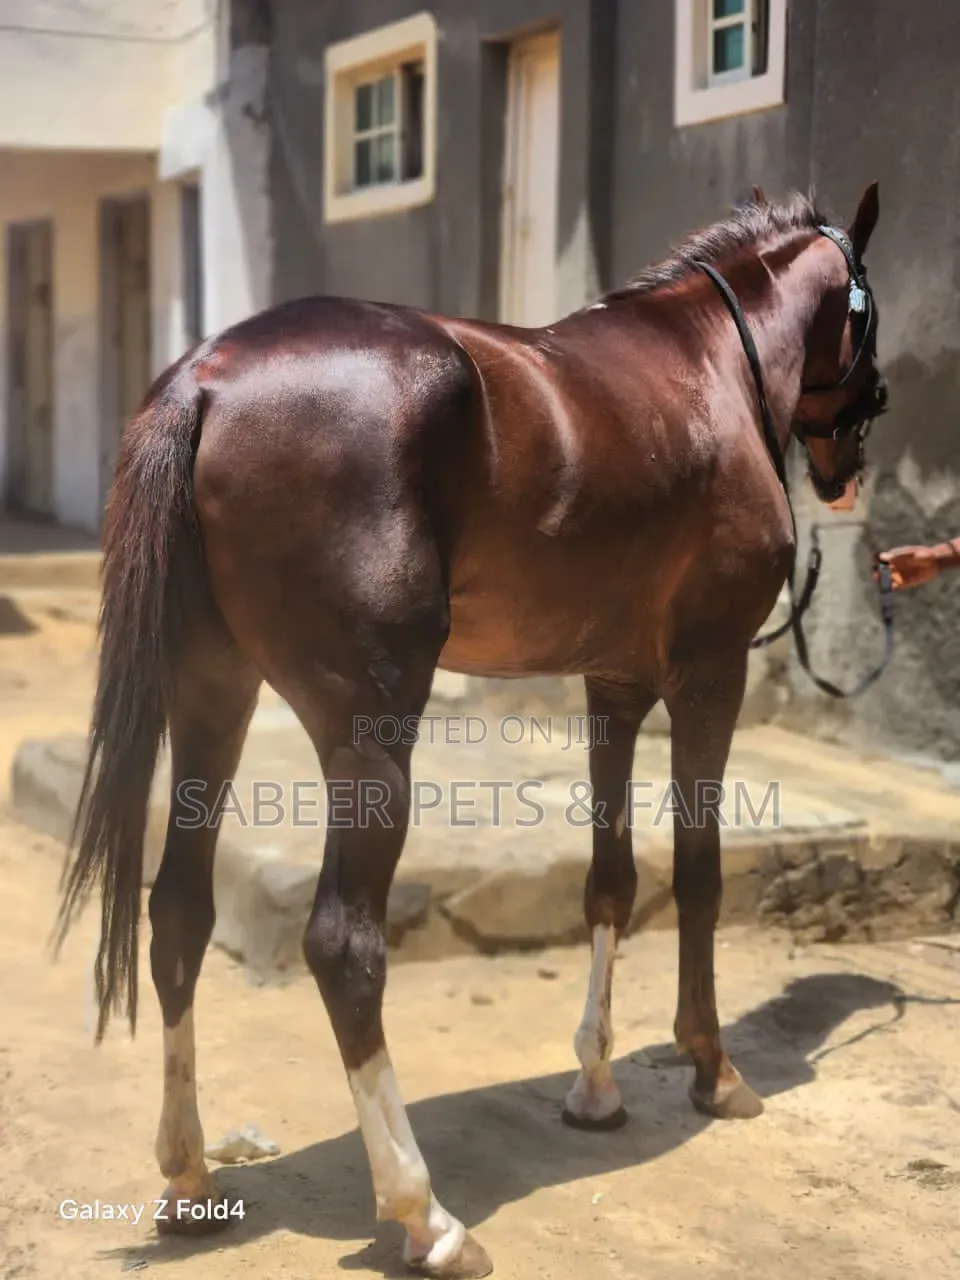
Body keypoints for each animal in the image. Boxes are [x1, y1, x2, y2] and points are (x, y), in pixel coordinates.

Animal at [54, 182, 887, 1278]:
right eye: (866, 310)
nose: (850, 459)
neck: (709, 365)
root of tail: (209, 382)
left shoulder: (614, 682)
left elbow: (611, 880)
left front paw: (595, 1087)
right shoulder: (712, 673)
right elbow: (698, 876)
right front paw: (714, 1068)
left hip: (211, 693)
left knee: (178, 914)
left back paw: (190, 1174)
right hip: (370, 733)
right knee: (343, 946)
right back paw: (425, 1215)